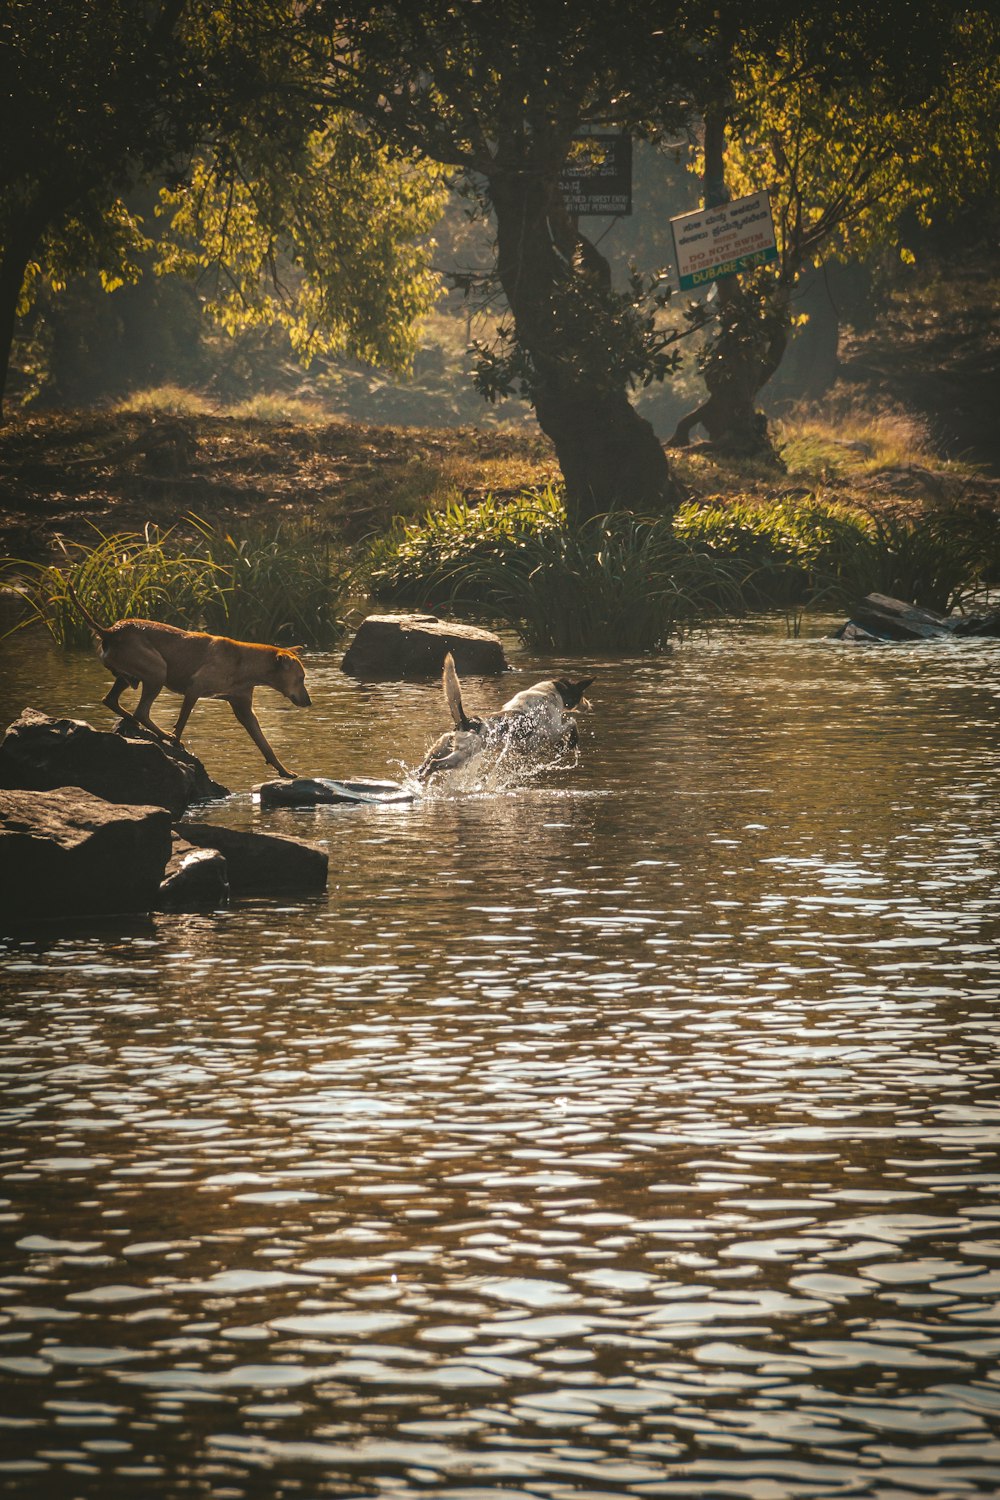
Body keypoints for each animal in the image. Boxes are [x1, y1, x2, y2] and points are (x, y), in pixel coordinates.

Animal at [68, 582, 310, 780]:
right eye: (301, 678)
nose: (309, 702)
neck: (244, 663)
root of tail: (110, 631)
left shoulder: (244, 710)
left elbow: (265, 745)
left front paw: (284, 771)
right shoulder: (194, 690)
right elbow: (182, 722)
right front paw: (175, 740)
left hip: (133, 676)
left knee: (112, 700)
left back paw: (132, 721)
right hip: (158, 671)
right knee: (141, 711)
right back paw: (160, 732)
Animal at [416, 651, 593, 780]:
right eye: (582, 695)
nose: (590, 705)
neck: (552, 693)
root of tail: (466, 722)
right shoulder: (553, 730)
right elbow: (572, 723)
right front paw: (571, 743)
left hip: (442, 747)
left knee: (424, 764)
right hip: (461, 756)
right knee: (434, 764)